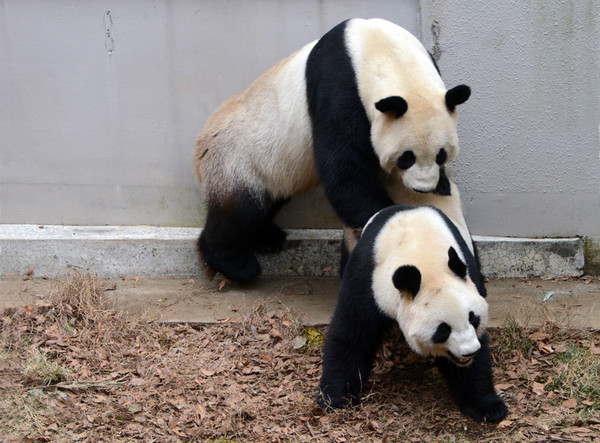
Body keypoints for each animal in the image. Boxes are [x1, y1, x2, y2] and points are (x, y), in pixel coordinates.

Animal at [195, 18, 472, 284]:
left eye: (441, 154)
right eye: (406, 157)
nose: (422, 188)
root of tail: (200, 146)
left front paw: (441, 184)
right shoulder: (338, 87)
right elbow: (343, 170)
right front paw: (388, 216)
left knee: (268, 202)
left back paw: (266, 238)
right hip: (237, 160)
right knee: (239, 212)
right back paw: (234, 263)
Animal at [316, 205, 508, 424]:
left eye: (473, 318)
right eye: (443, 330)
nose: (469, 352)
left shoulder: (465, 270)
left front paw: (488, 407)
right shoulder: (369, 278)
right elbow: (351, 332)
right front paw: (335, 399)